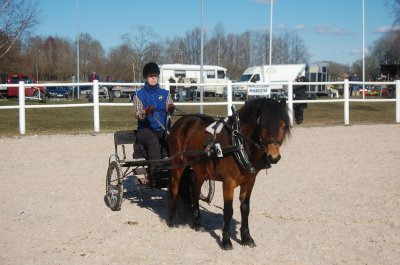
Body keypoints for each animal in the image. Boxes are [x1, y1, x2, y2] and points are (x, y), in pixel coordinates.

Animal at [166, 96, 290, 248]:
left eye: (283, 126)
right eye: (263, 126)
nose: (274, 157)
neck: (238, 142)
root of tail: (182, 121)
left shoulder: (249, 181)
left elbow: (245, 208)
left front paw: (247, 238)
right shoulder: (228, 182)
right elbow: (228, 210)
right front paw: (226, 240)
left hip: (200, 170)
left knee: (194, 193)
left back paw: (198, 224)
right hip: (177, 165)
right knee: (175, 189)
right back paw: (171, 220)